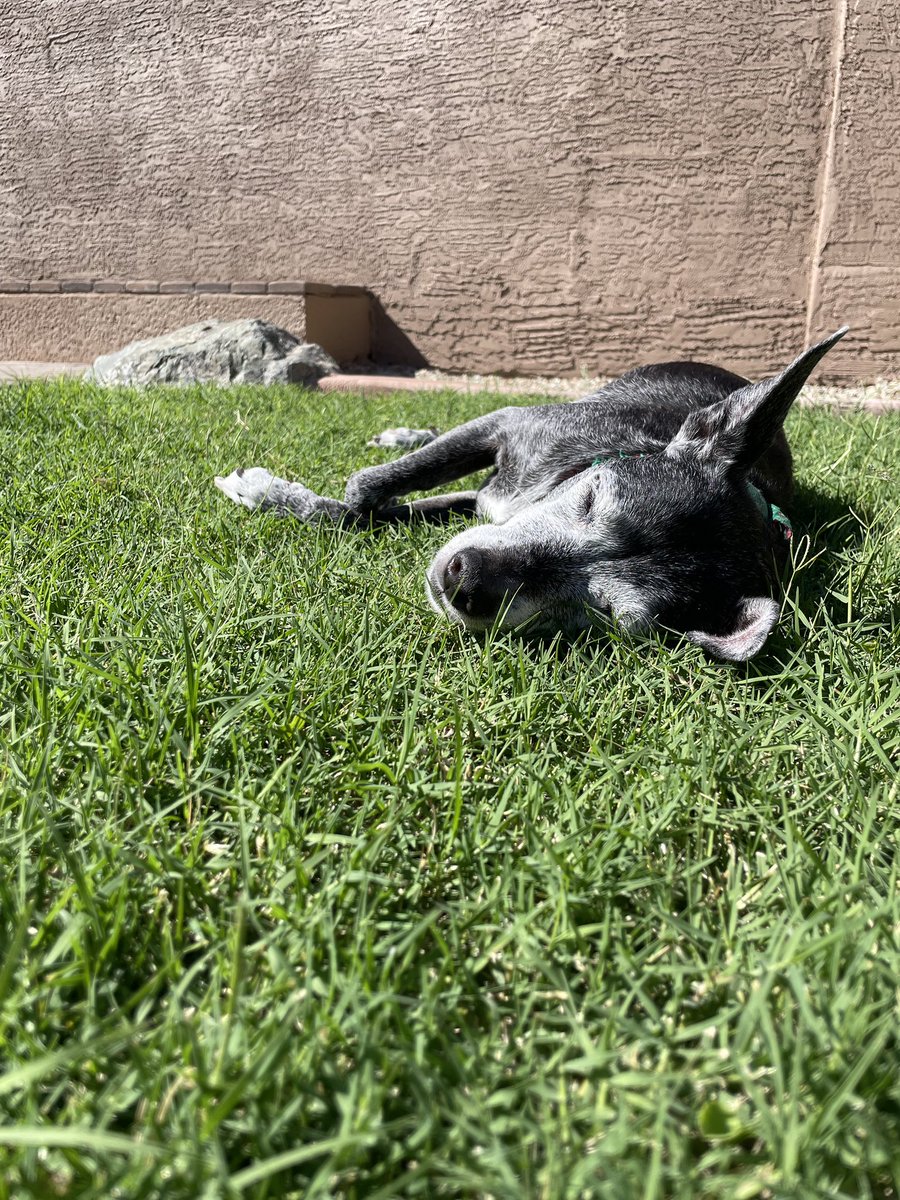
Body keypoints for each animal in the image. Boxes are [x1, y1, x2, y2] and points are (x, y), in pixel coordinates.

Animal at [214, 328, 849, 662]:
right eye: (593, 494)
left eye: (603, 612)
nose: (464, 581)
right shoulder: (506, 425)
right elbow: (365, 492)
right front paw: (270, 491)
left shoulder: (481, 503)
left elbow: (365, 511)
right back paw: (402, 432)